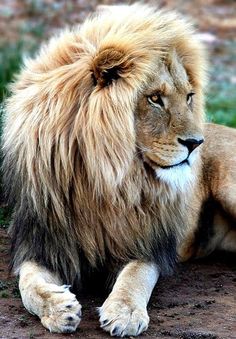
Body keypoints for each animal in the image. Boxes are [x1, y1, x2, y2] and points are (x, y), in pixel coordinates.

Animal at [1, 3, 236, 338]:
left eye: (189, 97)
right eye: (155, 98)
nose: (196, 143)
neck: (101, 179)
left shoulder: (146, 243)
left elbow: (136, 276)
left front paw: (124, 312)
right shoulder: (40, 243)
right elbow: (29, 284)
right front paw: (58, 308)